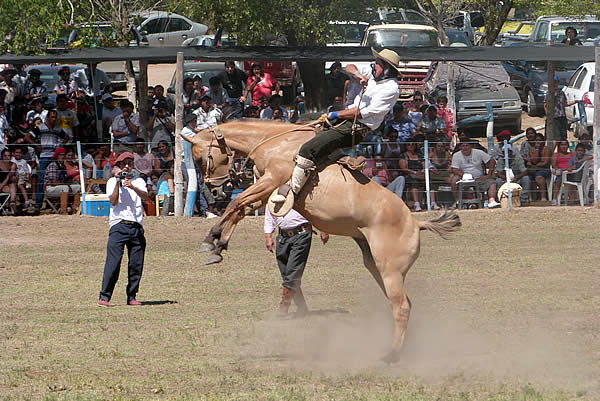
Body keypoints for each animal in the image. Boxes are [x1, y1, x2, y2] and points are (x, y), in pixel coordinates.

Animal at [185, 120, 462, 360]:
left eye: (199, 158)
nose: (215, 191)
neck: (276, 141)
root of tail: (415, 223)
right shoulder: (266, 192)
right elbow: (240, 209)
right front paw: (217, 244)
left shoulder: (271, 180)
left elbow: (236, 204)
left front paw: (212, 239)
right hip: (376, 266)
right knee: (404, 305)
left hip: (390, 269)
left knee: (402, 307)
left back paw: (392, 355)